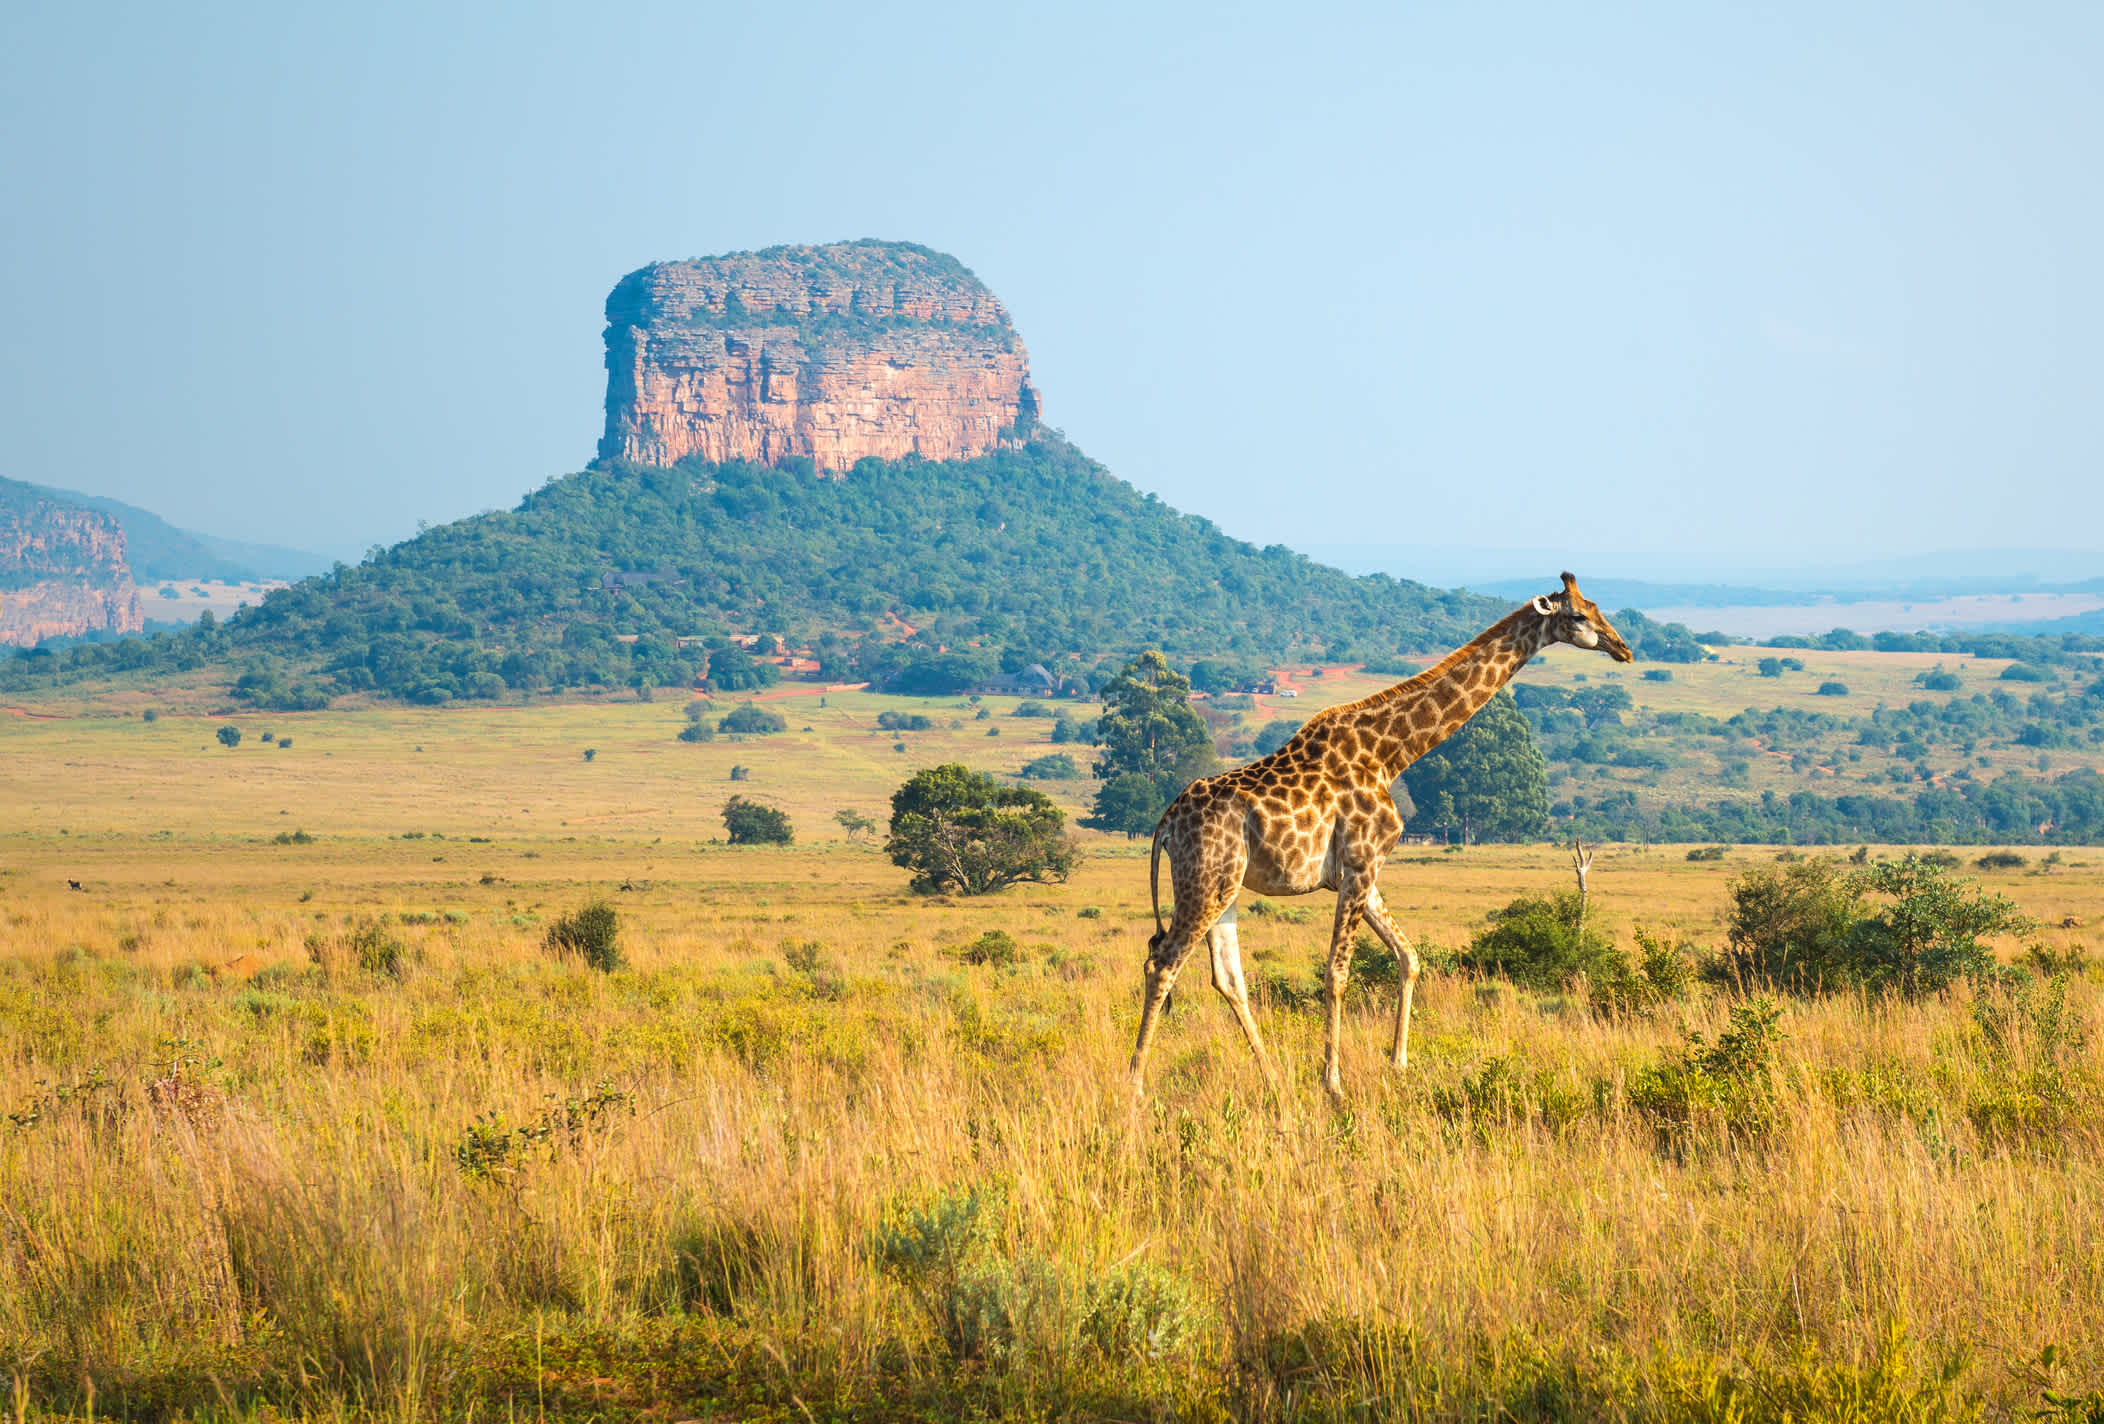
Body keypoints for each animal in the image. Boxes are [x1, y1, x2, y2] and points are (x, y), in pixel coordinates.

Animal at [1127, 567, 1632, 1102]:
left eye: (1597, 608)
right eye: (1578, 616)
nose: (1623, 648)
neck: (1391, 754)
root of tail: (1165, 823)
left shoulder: (1362, 872)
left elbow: (1408, 956)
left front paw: (1398, 1064)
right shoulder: (1360, 865)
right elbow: (1337, 973)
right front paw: (1333, 1084)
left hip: (1227, 887)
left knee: (1227, 978)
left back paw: (1275, 1080)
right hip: (1205, 882)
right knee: (1163, 964)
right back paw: (1134, 1084)